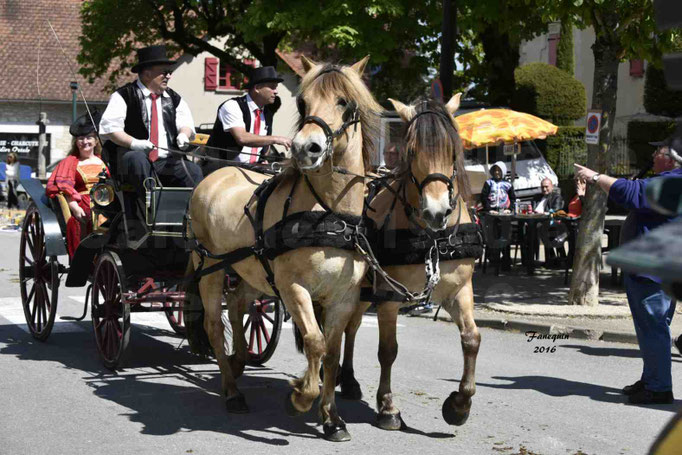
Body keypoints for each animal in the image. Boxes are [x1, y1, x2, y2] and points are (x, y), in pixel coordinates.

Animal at [183, 56, 380, 442]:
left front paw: (332, 418)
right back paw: (232, 391)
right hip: (210, 267)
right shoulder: (293, 289)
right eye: (303, 104)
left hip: (249, 270)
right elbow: (315, 343)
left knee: (238, 306)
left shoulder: (344, 298)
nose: (306, 148)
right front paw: (301, 397)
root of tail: (215, 176)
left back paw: (239, 362)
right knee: (213, 324)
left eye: (344, 102)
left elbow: (332, 353)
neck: (329, 215)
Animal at [338, 95, 478, 432]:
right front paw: (388, 407)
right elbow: (388, 351)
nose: (437, 212)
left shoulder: (459, 290)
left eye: (453, 149)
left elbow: (471, 339)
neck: (431, 239)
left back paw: (347, 381)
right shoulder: (389, 298)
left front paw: (459, 405)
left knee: (351, 326)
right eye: (411, 150)